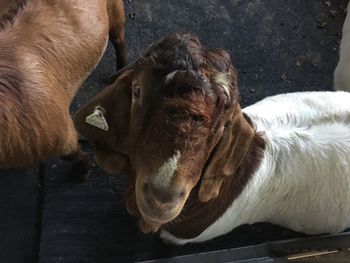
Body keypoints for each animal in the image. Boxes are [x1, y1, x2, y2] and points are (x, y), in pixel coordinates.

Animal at [0, 0, 126, 176]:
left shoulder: (63, 132)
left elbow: (72, 152)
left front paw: (81, 172)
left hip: (115, 9)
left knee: (119, 36)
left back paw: (120, 70)